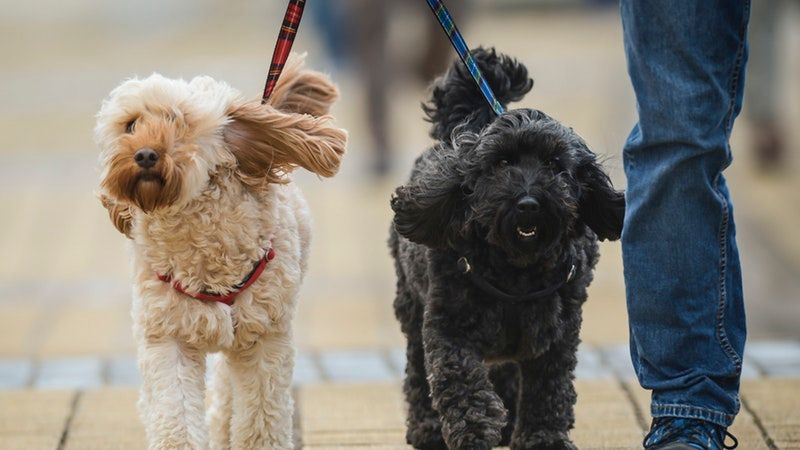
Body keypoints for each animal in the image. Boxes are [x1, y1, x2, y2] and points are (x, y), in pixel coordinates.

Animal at [390, 49, 628, 450]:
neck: (518, 272)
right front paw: (474, 429)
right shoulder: (448, 328)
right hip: (412, 307)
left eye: (553, 164)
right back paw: (427, 428)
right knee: (418, 371)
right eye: (502, 163)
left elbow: (549, 391)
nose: (529, 203)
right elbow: (461, 383)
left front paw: (543, 438)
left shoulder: (556, 338)